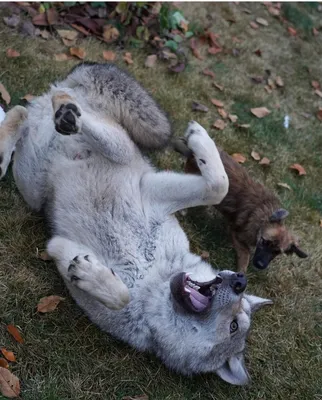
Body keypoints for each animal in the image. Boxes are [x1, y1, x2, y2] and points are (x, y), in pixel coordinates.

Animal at [0, 62, 272, 384]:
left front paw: (89, 273)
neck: (154, 276)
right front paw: (202, 139)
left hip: (32, 187)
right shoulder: (154, 190)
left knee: (21, 111)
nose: (241, 281)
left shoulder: (57, 245)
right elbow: (219, 184)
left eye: (233, 327)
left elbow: (120, 294)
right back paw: (64, 110)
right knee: (46, 109)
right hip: (114, 149)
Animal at [172, 138, 308, 272]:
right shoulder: (237, 234)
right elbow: (245, 255)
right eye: (264, 242)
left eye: (276, 252)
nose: (260, 265)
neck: (264, 216)